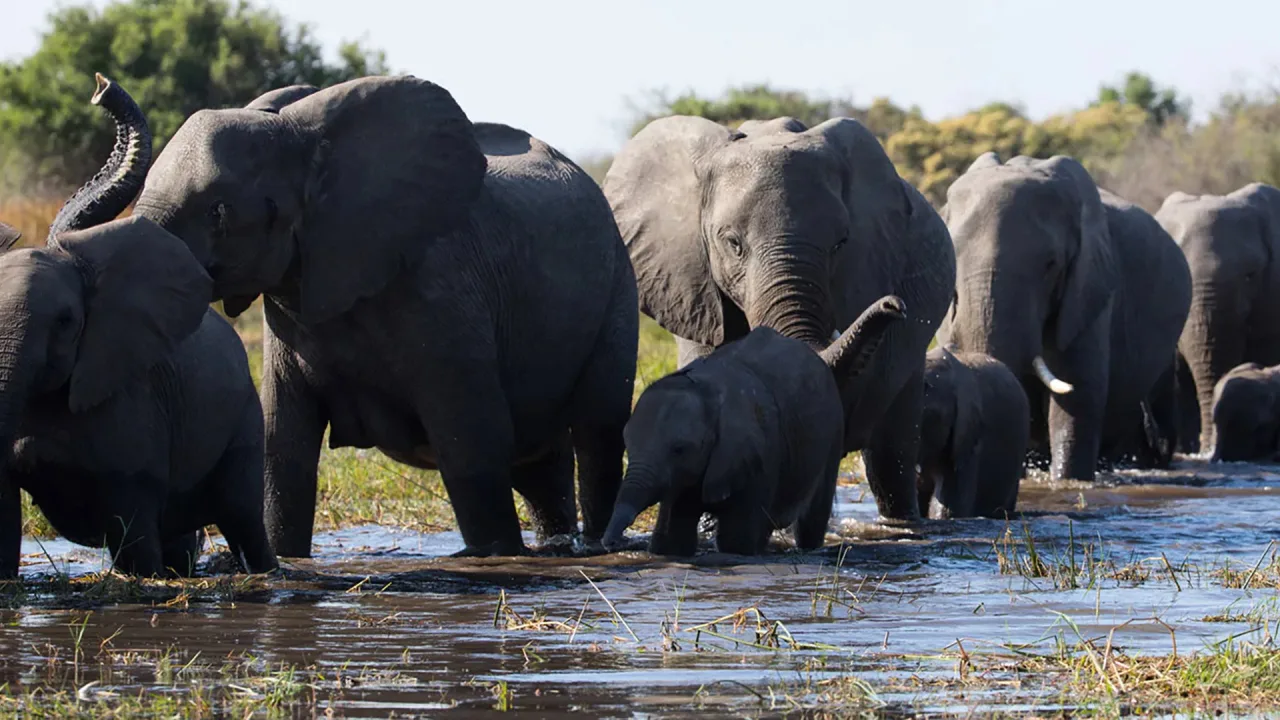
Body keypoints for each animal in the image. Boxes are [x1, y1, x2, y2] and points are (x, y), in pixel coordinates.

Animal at [134, 76, 639, 558]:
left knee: (597, 431)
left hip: (617, 284)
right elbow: (283, 448)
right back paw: (557, 546)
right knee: (538, 460)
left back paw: (597, 546)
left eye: (218, 212)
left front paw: (496, 556)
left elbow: (471, 442)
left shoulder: (443, 290)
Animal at [603, 296, 906, 556]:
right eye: (627, 445)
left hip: (830, 436)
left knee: (811, 518)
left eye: (679, 450)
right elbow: (671, 537)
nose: (611, 543)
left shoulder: (756, 456)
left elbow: (737, 540)